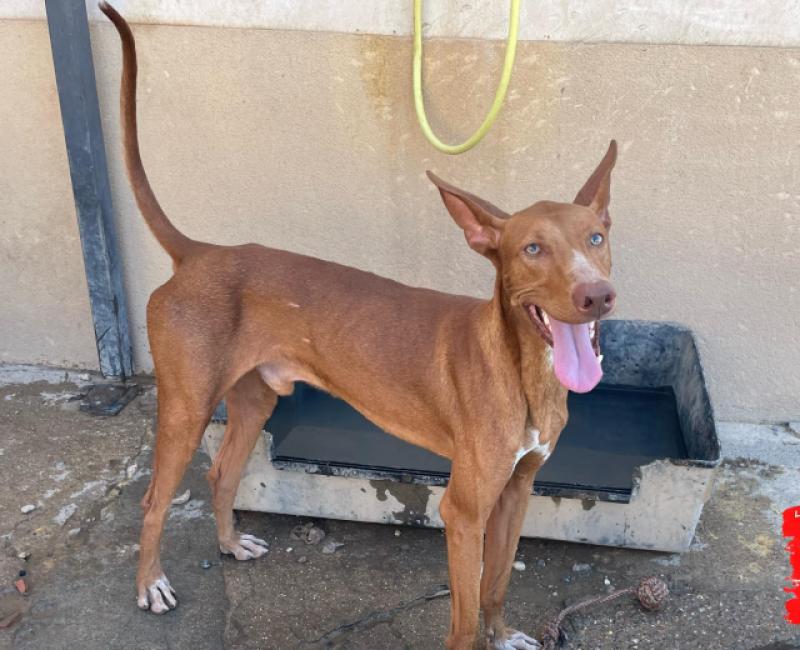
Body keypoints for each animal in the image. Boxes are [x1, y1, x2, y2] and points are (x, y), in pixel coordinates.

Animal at [100, 4, 617, 648]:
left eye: (595, 238)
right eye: (532, 249)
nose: (597, 296)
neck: (524, 372)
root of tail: (198, 254)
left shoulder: (518, 490)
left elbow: (496, 586)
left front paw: (503, 634)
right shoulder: (463, 510)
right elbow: (464, 616)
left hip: (255, 399)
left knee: (221, 474)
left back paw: (228, 543)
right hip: (187, 407)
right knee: (153, 501)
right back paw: (150, 584)